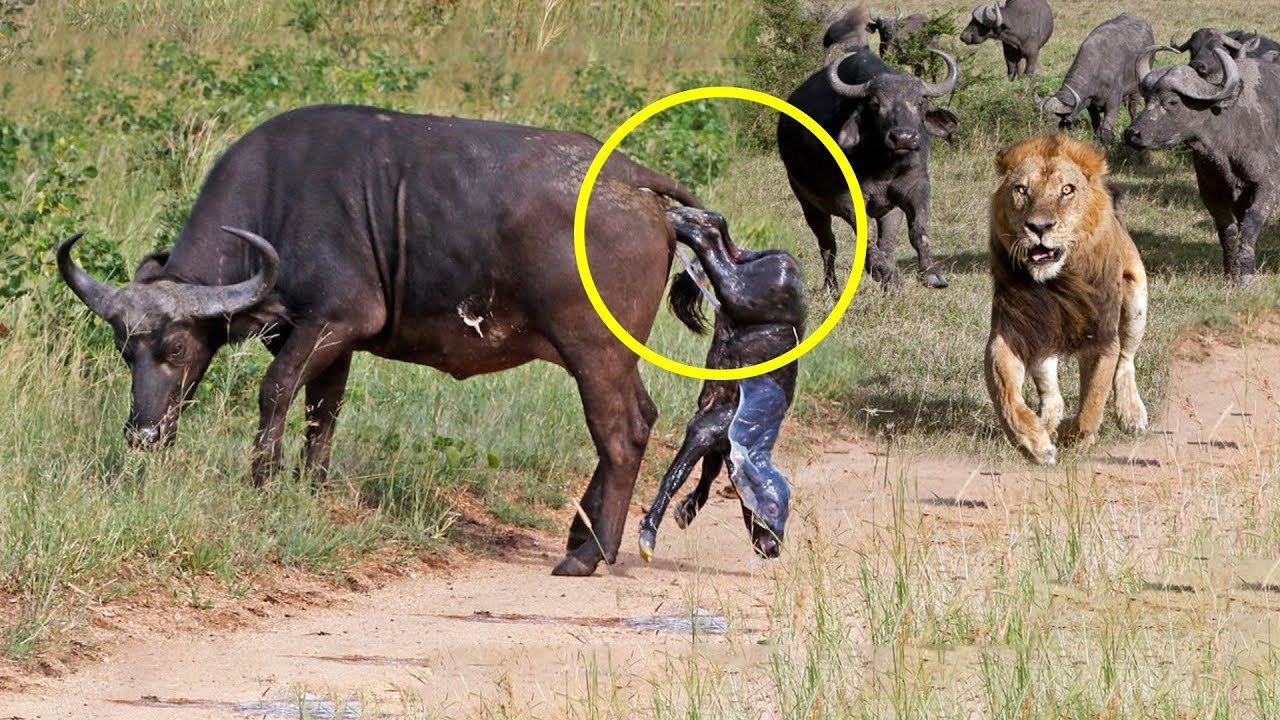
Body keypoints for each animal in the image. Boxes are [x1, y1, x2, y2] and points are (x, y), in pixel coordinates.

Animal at [58, 104, 703, 577]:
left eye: (177, 350)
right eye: (126, 352)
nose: (142, 435)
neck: (276, 200)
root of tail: (634, 181)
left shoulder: (332, 322)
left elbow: (275, 391)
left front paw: (264, 479)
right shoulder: (329, 343)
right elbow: (322, 413)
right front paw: (309, 488)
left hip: (593, 351)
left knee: (620, 433)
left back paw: (588, 554)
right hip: (615, 357)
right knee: (642, 418)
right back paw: (581, 534)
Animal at [780, 11, 959, 293]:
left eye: (919, 102)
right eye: (876, 104)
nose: (903, 138)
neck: (883, 167)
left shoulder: (917, 187)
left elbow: (919, 231)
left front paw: (932, 273)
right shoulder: (847, 199)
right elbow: (866, 238)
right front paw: (881, 271)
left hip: (889, 211)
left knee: (887, 242)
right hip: (808, 203)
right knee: (828, 246)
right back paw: (834, 286)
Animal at [985, 134, 1148, 465]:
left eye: (1067, 190)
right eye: (1021, 189)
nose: (1039, 227)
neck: (1057, 284)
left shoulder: (1101, 336)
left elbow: (1094, 397)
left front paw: (1078, 438)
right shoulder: (1012, 332)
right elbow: (1005, 392)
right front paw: (1035, 443)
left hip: (1136, 300)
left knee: (1126, 360)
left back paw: (1131, 414)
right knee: (1051, 392)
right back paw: (1046, 423)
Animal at [1038, 14, 1153, 143]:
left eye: (1056, 119)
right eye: (1044, 118)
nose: (1046, 135)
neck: (1098, 70)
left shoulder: (1113, 102)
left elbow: (1107, 125)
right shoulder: (1091, 105)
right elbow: (1096, 122)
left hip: (1136, 89)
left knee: (1132, 108)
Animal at [1125, 48, 1280, 285]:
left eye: (1172, 102)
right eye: (1147, 99)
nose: (1132, 133)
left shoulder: (1267, 185)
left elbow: (1251, 224)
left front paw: (1245, 274)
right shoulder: (1210, 191)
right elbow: (1228, 230)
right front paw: (1230, 272)